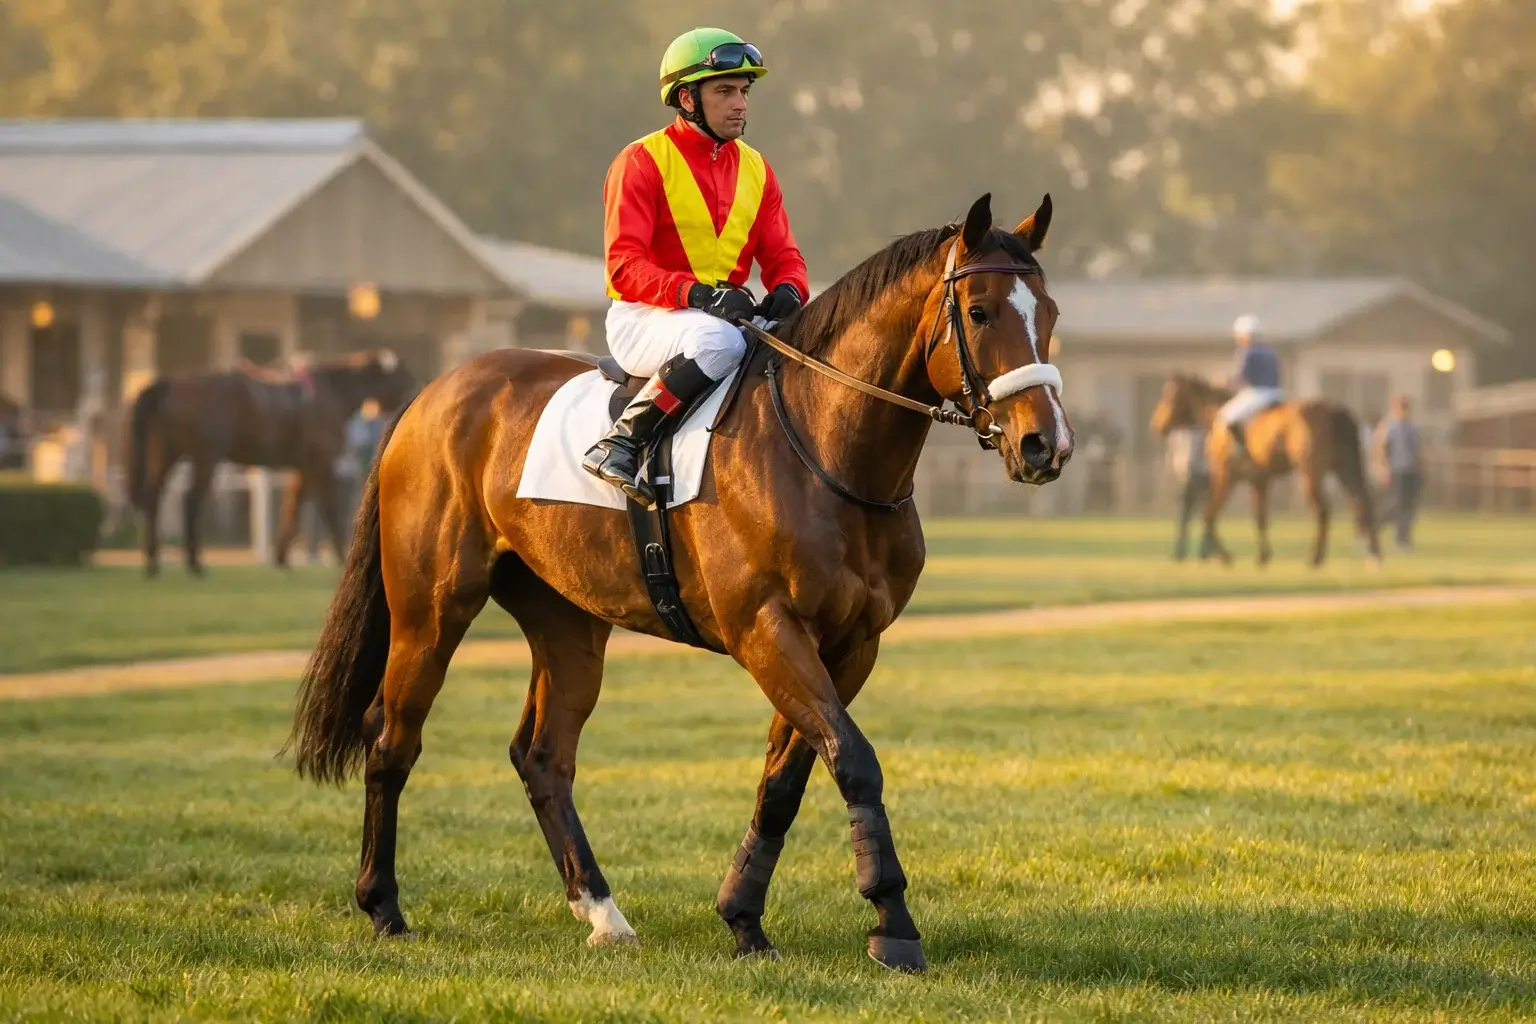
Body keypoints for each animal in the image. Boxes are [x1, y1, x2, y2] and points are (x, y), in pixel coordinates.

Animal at [123, 350, 416, 577]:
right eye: (405, 377)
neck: (332, 391)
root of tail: (172, 384)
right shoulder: (319, 462)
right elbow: (328, 506)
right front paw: (339, 553)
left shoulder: (303, 466)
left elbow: (293, 505)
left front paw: (282, 557)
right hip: (206, 456)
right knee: (192, 500)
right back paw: (194, 562)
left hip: (166, 454)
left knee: (153, 497)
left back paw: (153, 562)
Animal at [285, 193, 1074, 973]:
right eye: (980, 312)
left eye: (1051, 313)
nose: (1046, 445)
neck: (822, 449)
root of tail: (433, 394)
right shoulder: (767, 630)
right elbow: (852, 761)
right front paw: (893, 922)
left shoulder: (852, 644)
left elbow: (786, 778)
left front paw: (744, 917)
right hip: (432, 610)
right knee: (392, 737)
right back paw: (384, 907)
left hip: (569, 624)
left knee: (543, 757)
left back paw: (602, 913)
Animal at [1149, 373, 1380, 567]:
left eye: (1169, 396)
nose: (1156, 425)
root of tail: (1334, 410)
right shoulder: (1259, 480)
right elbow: (1260, 516)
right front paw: (1263, 557)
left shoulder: (1226, 477)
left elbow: (1209, 513)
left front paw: (1225, 556)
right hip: (1347, 470)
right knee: (1363, 502)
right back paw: (1374, 553)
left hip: (1310, 475)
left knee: (1322, 509)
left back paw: (1316, 557)